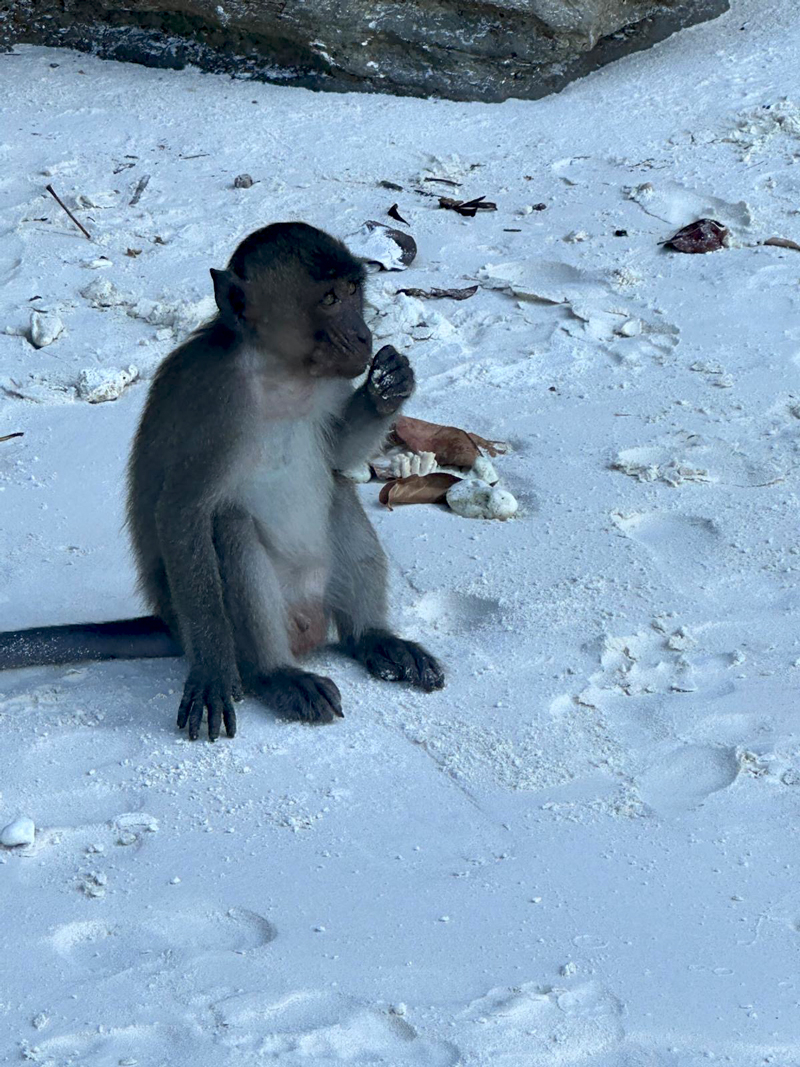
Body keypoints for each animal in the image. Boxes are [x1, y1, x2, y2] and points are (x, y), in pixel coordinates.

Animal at [0, 223, 445, 742]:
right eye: (330, 298)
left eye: (354, 290)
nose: (362, 334)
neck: (281, 371)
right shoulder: (213, 403)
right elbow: (183, 511)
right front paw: (212, 673)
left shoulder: (330, 379)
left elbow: (338, 454)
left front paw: (386, 387)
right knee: (230, 523)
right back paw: (276, 674)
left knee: (336, 492)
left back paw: (373, 639)